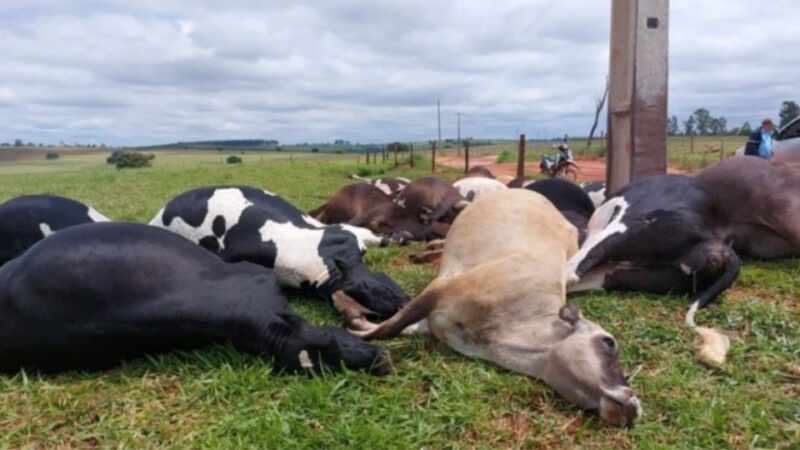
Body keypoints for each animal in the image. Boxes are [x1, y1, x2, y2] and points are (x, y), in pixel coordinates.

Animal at [150, 186, 410, 323]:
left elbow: (377, 236)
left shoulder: (345, 232)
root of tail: (159, 212)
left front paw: (400, 236)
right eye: (366, 292)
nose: (405, 303)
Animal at [351, 190, 641, 426]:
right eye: (609, 343)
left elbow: (399, 326)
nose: (634, 402)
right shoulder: (440, 289)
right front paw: (356, 329)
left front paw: (359, 323)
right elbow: (389, 328)